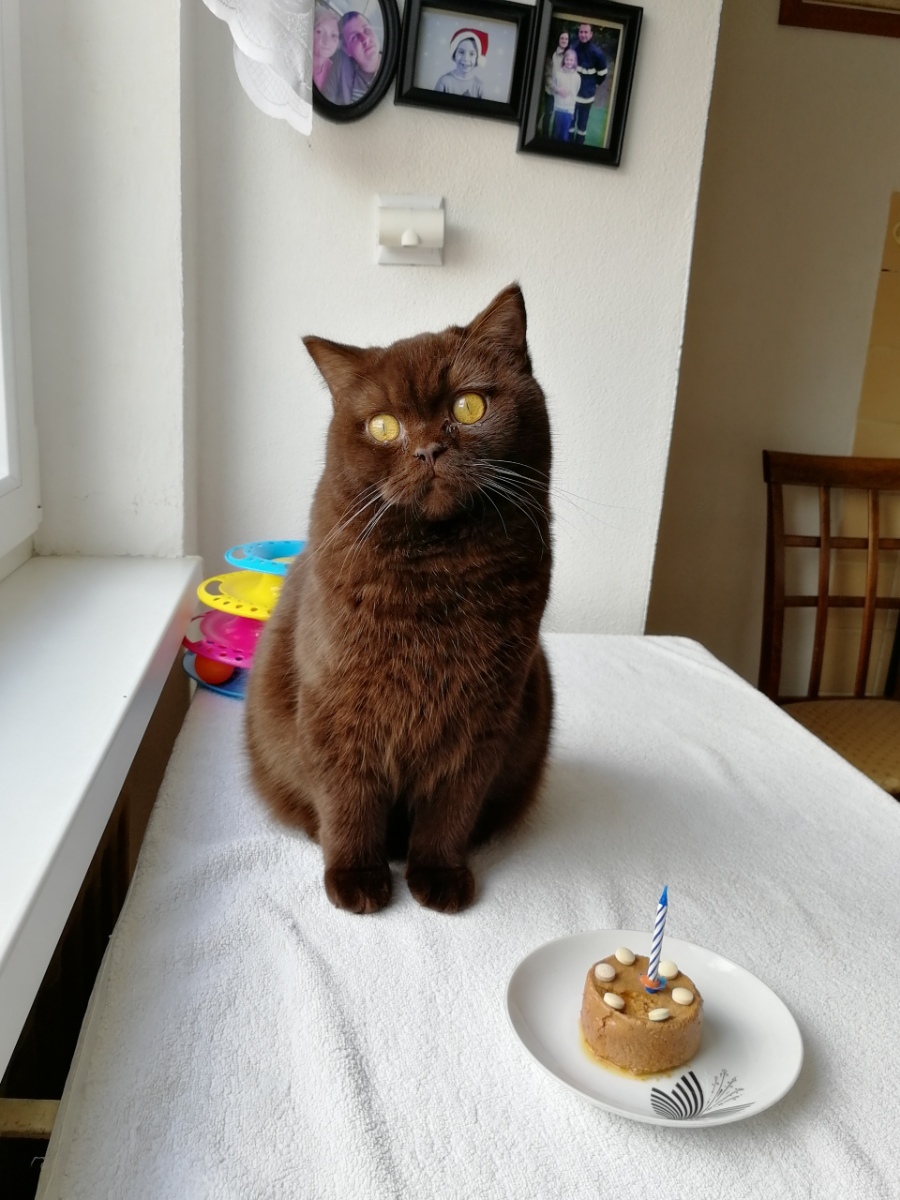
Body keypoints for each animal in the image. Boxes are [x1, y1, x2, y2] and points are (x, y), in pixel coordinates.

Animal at [245, 284, 553, 914]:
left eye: (468, 408)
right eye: (385, 426)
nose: (428, 451)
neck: (438, 574)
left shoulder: (484, 716)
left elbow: (452, 806)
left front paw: (438, 876)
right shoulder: (337, 707)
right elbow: (349, 800)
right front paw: (357, 878)